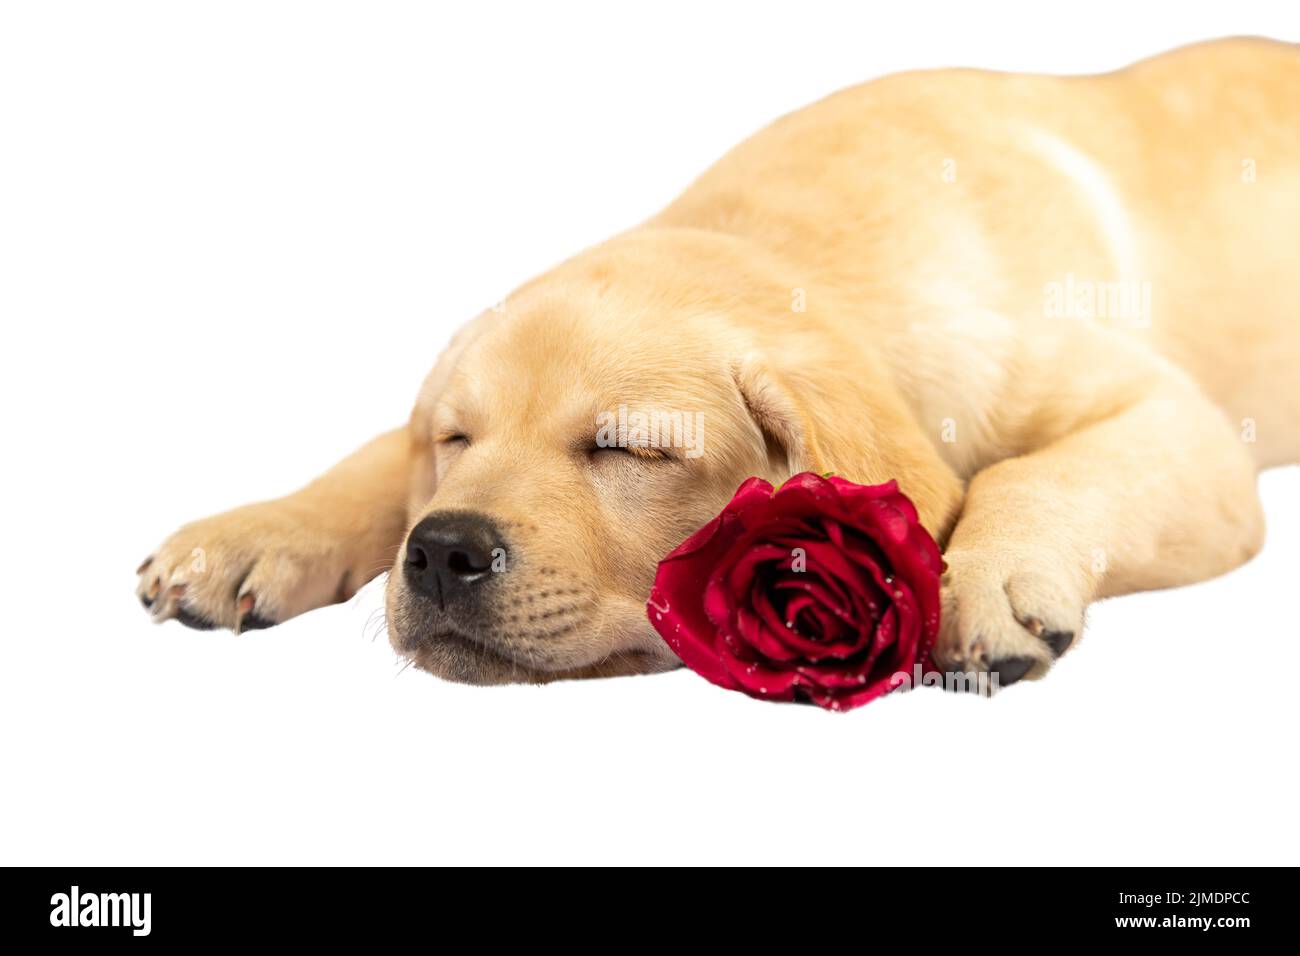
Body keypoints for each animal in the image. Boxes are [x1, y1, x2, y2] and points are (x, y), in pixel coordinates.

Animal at [134, 39, 1300, 686]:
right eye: (457, 439)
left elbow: (1044, 468)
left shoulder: (1181, 427)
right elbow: (375, 458)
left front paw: (988, 580)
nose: (440, 552)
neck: (797, 251)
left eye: (629, 450)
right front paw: (254, 532)